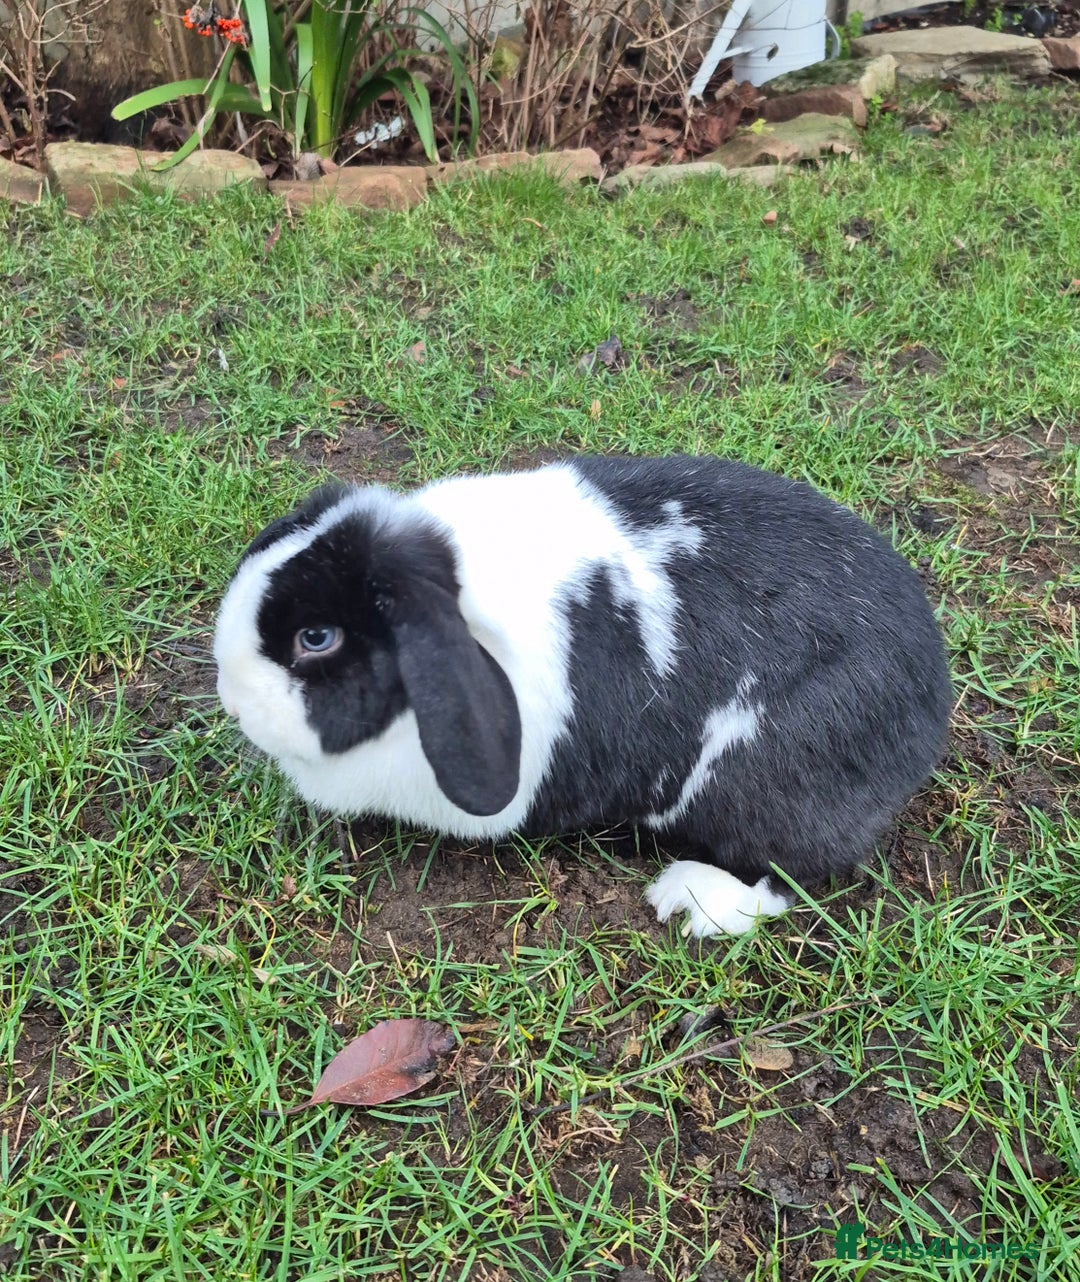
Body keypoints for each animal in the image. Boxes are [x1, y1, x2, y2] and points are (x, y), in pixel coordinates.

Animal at [214, 454, 951, 938]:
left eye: (317, 637)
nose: (231, 697)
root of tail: (931, 699)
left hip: (765, 785)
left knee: (794, 874)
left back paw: (691, 900)